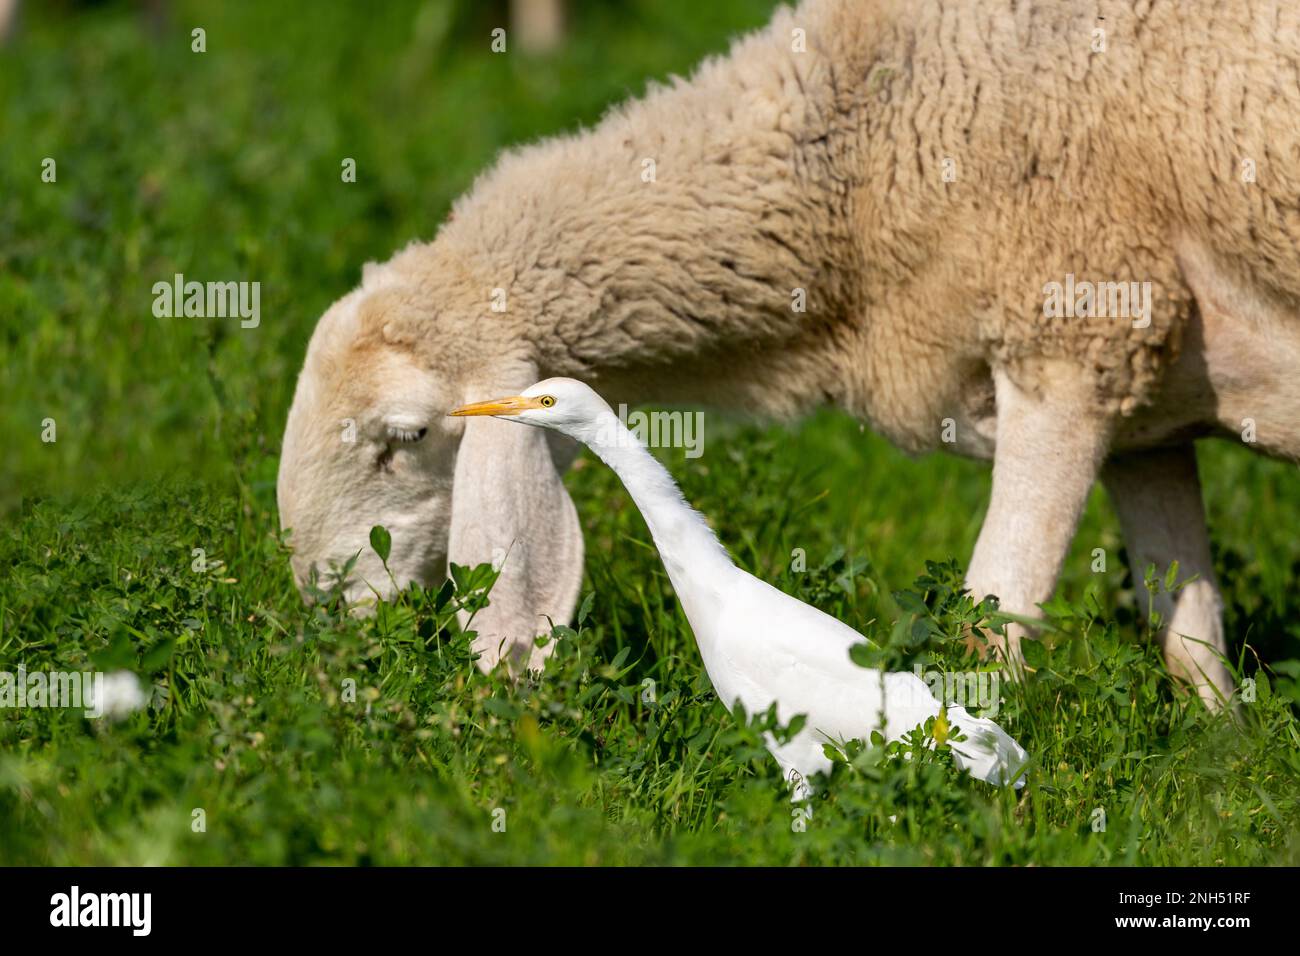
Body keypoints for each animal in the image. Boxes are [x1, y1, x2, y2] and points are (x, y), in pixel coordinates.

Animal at [279, 0, 1300, 702]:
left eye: (407, 435)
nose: (324, 622)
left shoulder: (1074, 337)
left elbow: (990, 623)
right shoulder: (1149, 417)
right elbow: (1192, 640)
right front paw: (1223, 756)